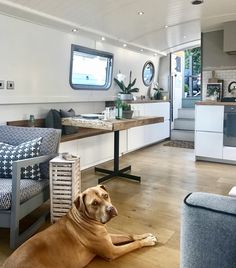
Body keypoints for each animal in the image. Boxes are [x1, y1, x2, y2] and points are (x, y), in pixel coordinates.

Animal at [3, 185, 157, 266]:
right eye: (94, 203)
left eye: (105, 195)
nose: (110, 209)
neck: (85, 219)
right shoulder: (112, 251)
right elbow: (133, 244)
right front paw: (147, 241)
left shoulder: (108, 238)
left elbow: (129, 235)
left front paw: (144, 235)